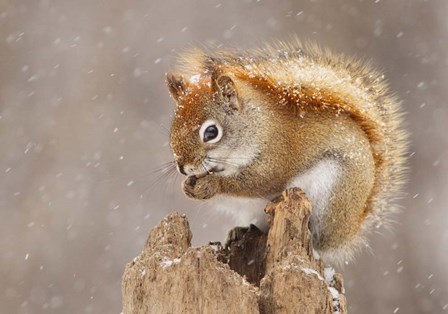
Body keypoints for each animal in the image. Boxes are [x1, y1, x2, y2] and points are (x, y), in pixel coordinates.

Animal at [165, 39, 410, 264]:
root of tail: (350, 231)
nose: (183, 167)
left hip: (332, 196)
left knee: (320, 241)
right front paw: (188, 186)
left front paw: (211, 185)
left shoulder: (277, 157)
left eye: (211, 132)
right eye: (172, 127)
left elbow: (257, 183)